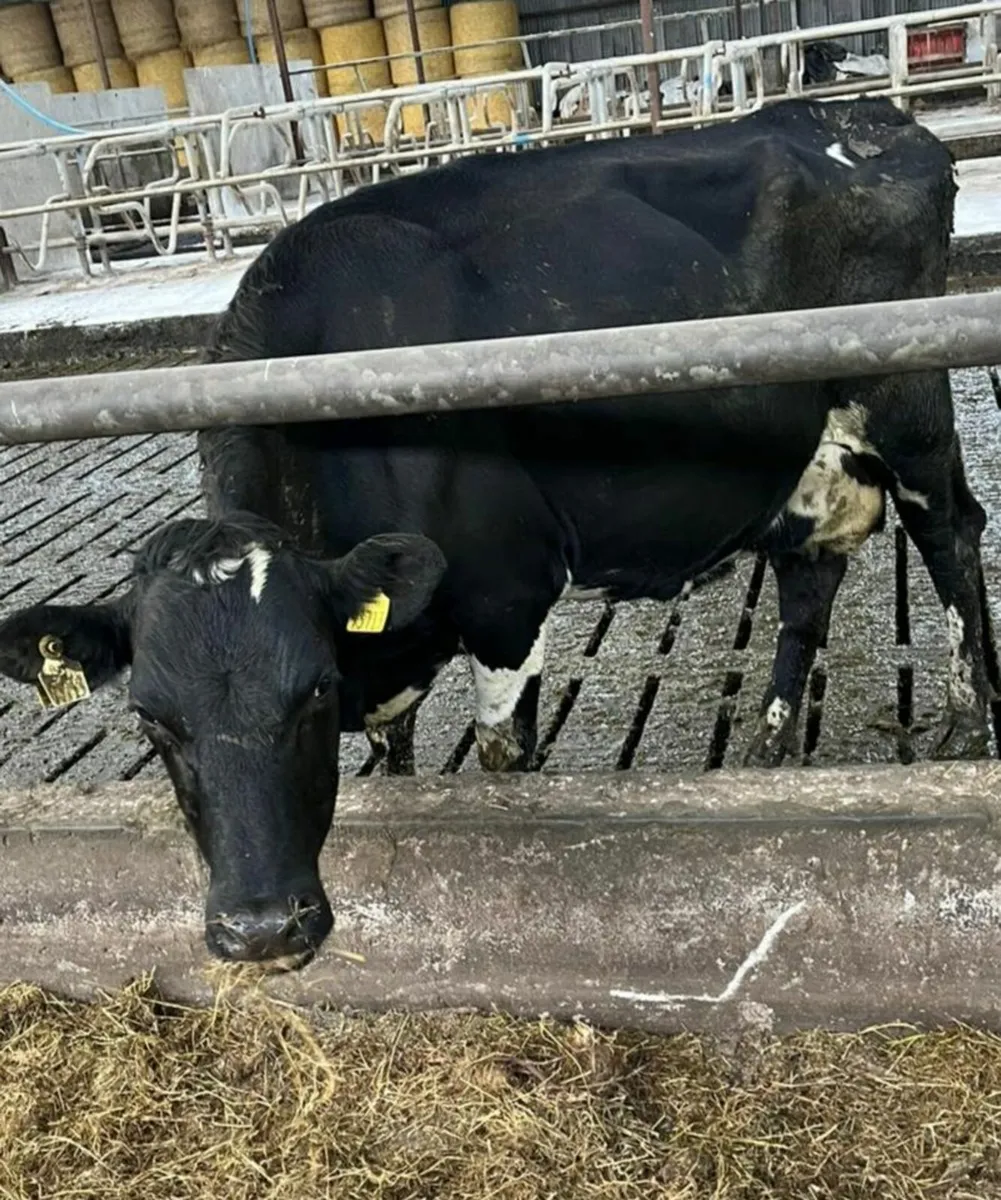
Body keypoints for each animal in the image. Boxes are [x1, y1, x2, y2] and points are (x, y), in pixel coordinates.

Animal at [0, 97, 994, 965]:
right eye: (149, 718)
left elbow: (500, 754)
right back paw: (769, 746)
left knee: (952, 531)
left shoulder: (508, 597)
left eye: (311, 690)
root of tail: (861, 115)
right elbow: (393, 757)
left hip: (906, 400)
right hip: (801, 461)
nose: (260, 932)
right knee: (806, 581)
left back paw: (964, 720)